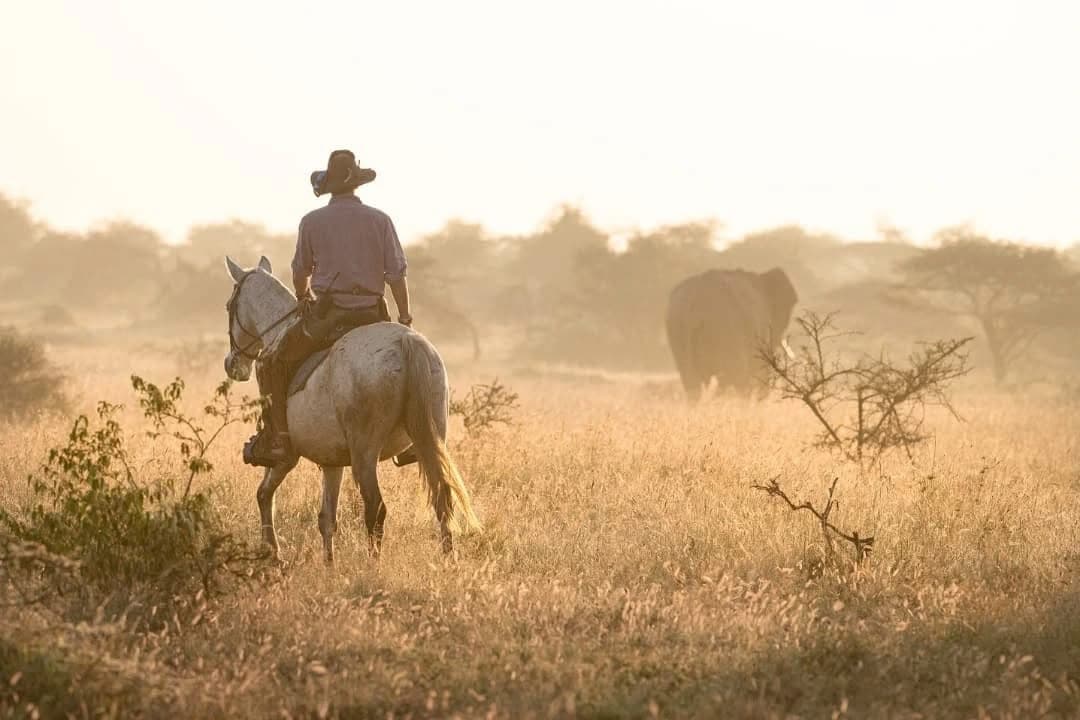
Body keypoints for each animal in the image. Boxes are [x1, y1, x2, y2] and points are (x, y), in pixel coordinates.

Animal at [222, 256, 480, 560]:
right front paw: (328, 564)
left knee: (376, 508)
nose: (232, 365)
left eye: (229, 306)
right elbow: (326, 519)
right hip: (429, 439)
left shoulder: (286, 457)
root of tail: (406, 342)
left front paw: (272, 552)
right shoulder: (332, 461)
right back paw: (448, 560)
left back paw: (373, 565)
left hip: (364, 453)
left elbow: (264, 493)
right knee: (441, 498)